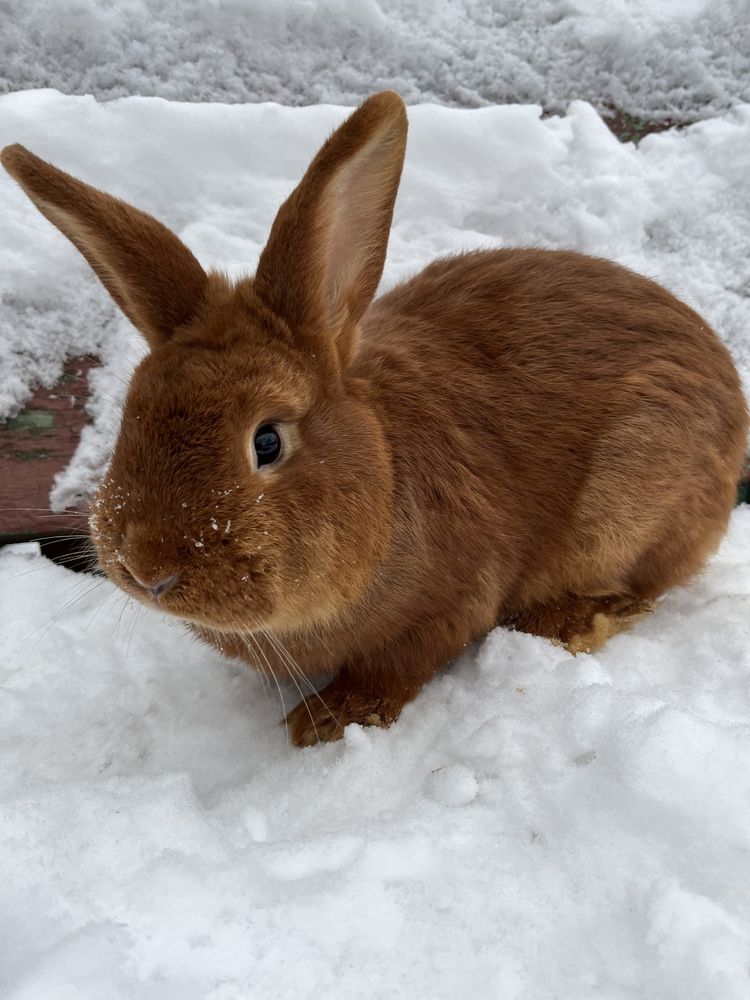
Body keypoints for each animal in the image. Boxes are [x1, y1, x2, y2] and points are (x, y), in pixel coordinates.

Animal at [2, 94, 748, 748]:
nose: (147, 569)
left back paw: (574, 621)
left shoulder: (450, 601)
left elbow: (399, 664)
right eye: (132, 413)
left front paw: (327, 721)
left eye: (267, 440)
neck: (384, 471)